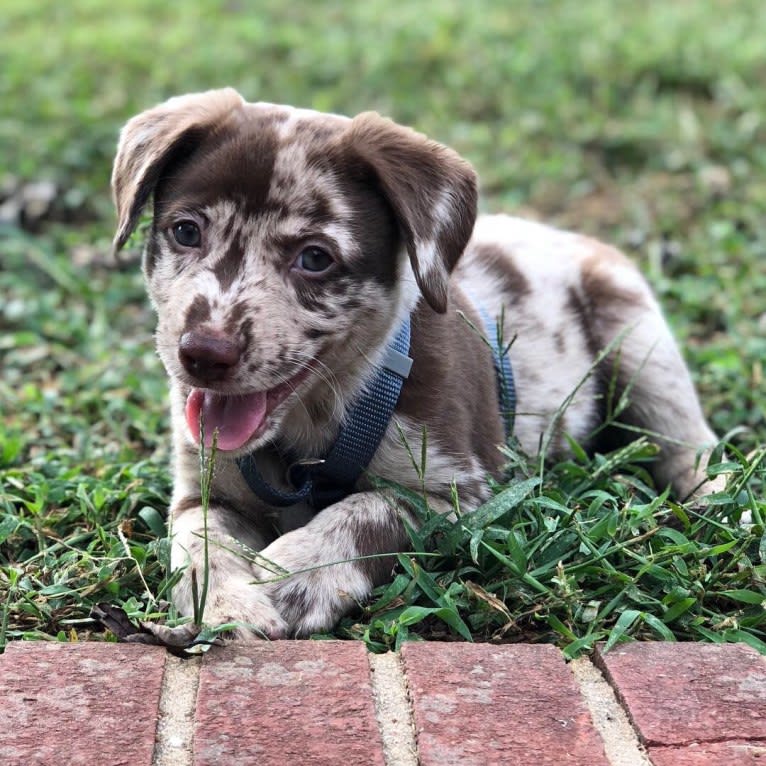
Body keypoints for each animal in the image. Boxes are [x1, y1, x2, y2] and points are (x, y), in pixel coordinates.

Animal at [111, 88, 724, 640]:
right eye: (186, 231)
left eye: (315, 258)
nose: (203, 353)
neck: (315, 422)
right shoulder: (202, 488)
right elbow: (198, 541)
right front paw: (227, 601)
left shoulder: (454, 493)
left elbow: (365, 512)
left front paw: (290, 577)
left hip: (640, 340)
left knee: (688, 442)